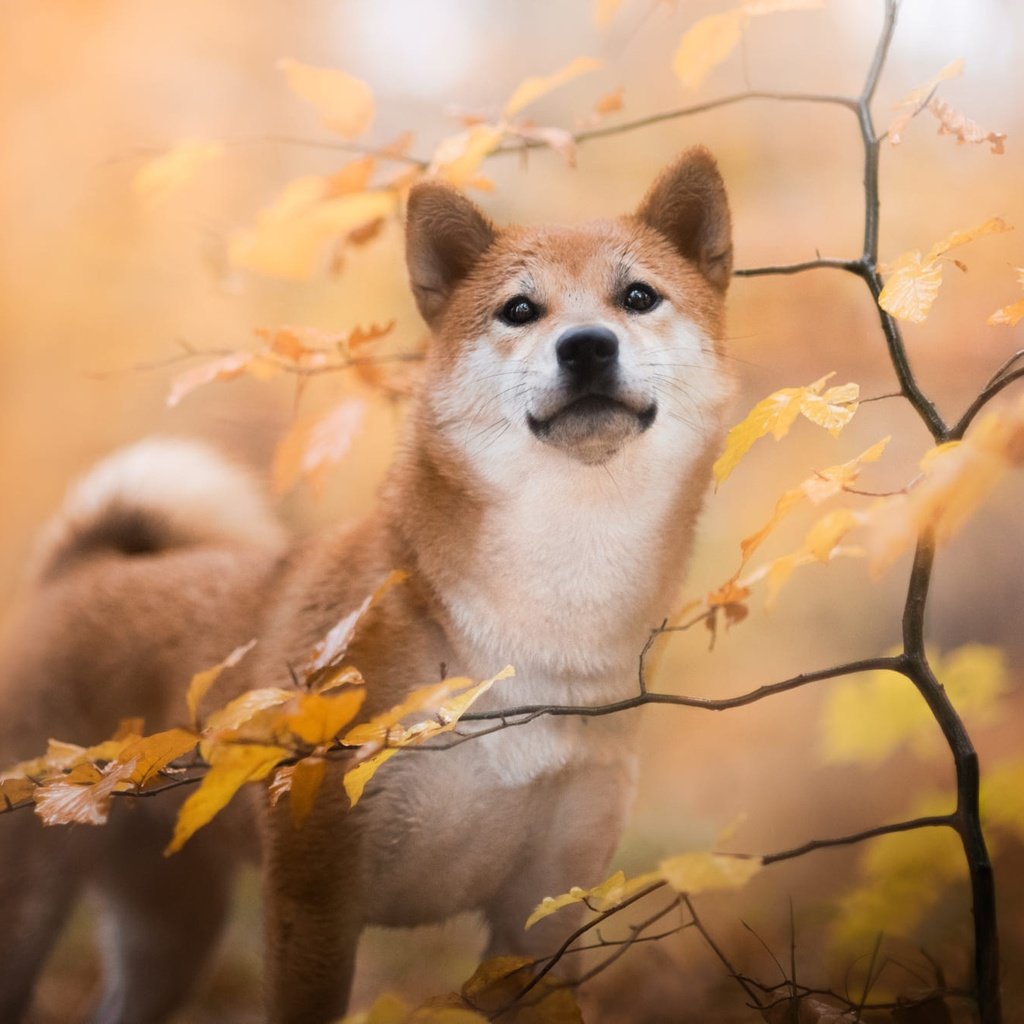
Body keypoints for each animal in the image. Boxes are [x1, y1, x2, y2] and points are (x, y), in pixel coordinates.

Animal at [2, 146, 737, 1024]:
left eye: (638, 297)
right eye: (520, 310)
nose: (587, 345)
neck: (543, 621)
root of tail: (81, 572)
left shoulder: (544, 915)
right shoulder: (315, 894)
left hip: (173, 924)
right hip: (34, 893)